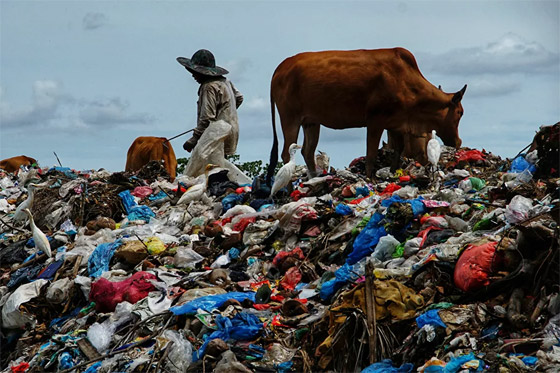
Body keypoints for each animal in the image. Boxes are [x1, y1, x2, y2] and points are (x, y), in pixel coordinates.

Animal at [266, 47, 464, 179]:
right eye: (460, 112)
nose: (458, 142)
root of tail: (280, 67)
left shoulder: (396, 123)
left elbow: (398, 150)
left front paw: (393, 173)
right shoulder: (375, 121)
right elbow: (371, 154)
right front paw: (370, 178)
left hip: (311, 121)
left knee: (308, 151)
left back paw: (314, 178)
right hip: (290, 119)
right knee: (286, 154)